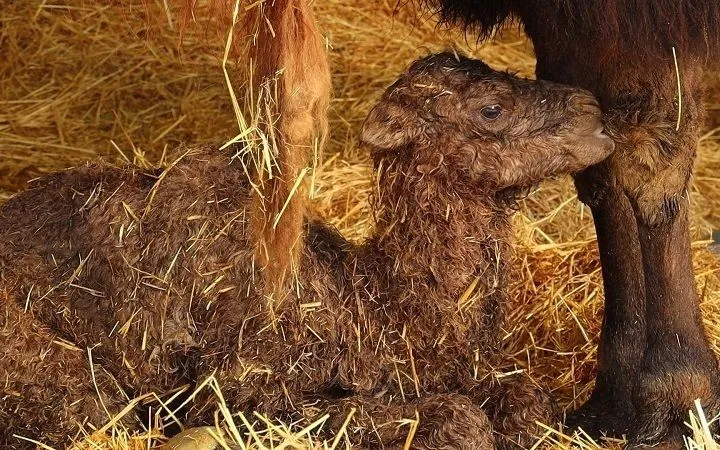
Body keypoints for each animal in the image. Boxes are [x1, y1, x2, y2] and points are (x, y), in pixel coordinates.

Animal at [0, 53, 612, 450]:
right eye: (491, 109)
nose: (594, 113)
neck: (370, 308)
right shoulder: (251, 393)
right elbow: (460, 421)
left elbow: (527, 399)